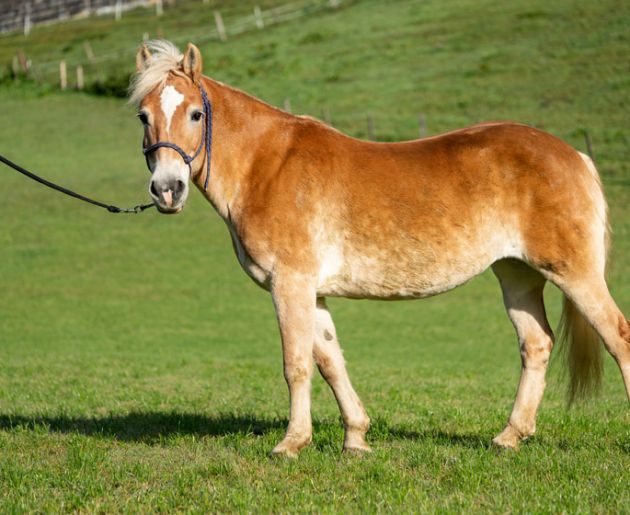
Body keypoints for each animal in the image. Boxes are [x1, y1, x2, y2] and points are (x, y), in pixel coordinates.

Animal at [130, 41, 630, 460]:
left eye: (196, 114)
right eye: (143, 115)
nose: (168, 189)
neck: (266, 166)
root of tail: (574, 156)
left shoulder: (290, 284)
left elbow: (297, 364)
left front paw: (291, 444)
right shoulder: (312, 291)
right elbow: (330, 363)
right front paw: (356, 438)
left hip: (575, 273)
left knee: (618, 337)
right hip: (516, 273)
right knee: (536, 344)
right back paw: (509, 436)